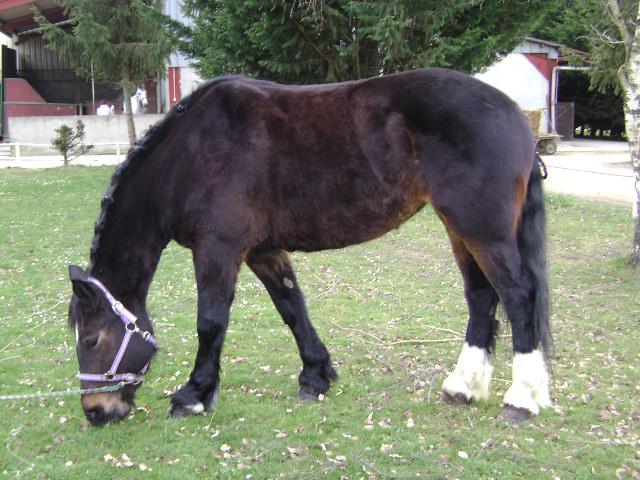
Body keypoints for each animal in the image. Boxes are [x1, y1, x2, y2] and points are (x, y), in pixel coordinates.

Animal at [67, 67, 552, 424]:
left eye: (91, 339)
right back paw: (463, 387)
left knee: (518, 296)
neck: (189, 154)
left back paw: (521, 398)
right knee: (482, 297)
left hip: (482, 231)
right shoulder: (262, 250)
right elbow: (292, 307)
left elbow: (210, 322)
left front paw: (194, 394)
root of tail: (517, 118)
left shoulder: (218, 250)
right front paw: (316, 375)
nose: (96, 412)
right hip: (460, 230)